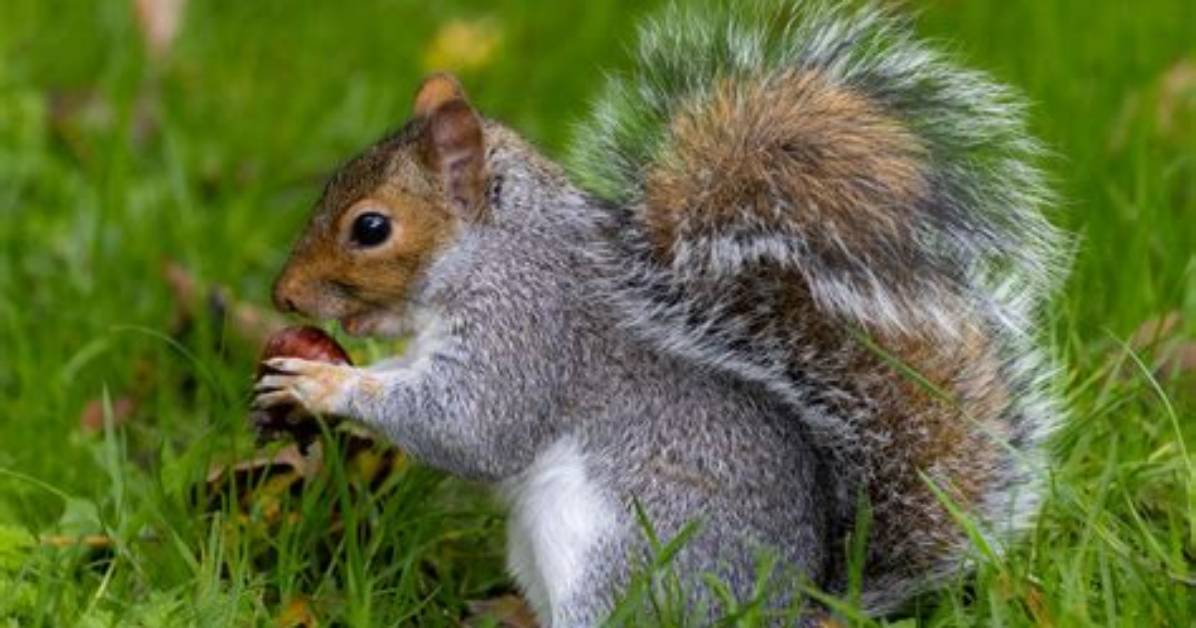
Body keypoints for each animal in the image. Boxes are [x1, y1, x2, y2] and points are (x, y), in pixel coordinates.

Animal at [252, 1, 1066, 624]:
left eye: (370, 227)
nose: (284, 296)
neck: (492, 250)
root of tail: (795, 611)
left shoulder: (528, 331)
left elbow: (471, 428)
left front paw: (321, 384)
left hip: (621, 557)